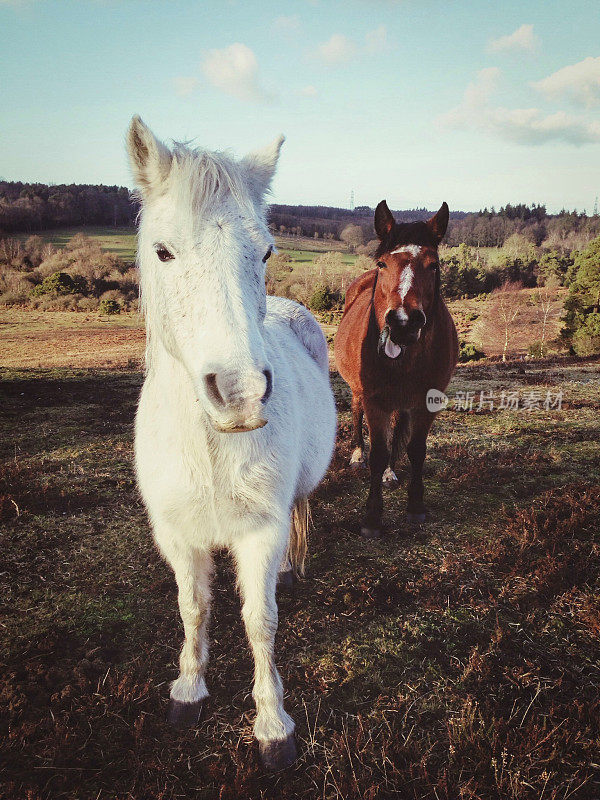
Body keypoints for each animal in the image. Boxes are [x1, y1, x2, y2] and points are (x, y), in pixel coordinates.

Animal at [126, 117, 336, 768]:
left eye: (264, 251)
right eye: (164, 251)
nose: (242, 393)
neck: (210, 448)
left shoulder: (259, 533)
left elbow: (258, 620)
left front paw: (273, 725)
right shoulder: (177, 536)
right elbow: (194, 609)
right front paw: (189, 689)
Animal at [336, 200, 458, 536]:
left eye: (434, 265)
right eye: (382, 264)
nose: (403, 322)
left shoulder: (426, 402)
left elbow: (415, 448)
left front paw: (415, 505)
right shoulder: (374, 400)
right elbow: (378, 452)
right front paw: (372, 518)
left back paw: (391, 473)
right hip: (358, 392)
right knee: (356, 413)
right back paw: (356, 455)